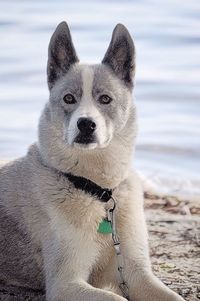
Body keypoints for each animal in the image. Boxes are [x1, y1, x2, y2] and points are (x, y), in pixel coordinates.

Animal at [0, 21, 184, 300]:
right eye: (68, 99)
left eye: (105, 99)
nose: (86, 124)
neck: (98, 192)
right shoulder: (65, 284)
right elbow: (116, 298)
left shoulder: (136, 273)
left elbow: (173, 296)